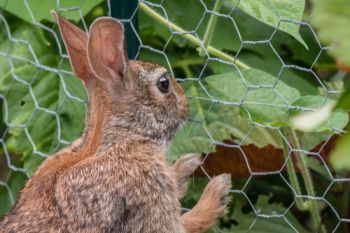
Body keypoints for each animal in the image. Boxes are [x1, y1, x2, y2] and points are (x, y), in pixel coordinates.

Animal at [0, 11, 232, 233]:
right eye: (164, 83)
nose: (186, 105)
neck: (121, 137)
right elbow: (187, 223)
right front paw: (217, 191)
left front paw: (186, 164)